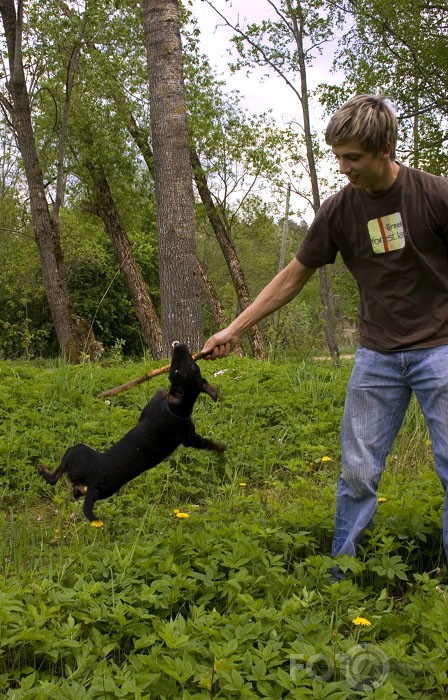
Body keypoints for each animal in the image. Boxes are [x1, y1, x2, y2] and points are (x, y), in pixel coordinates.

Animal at [37, 344, 226, 524]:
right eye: (193, 366)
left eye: (181, 368)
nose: (179, 346)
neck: (176, 408)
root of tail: (93, 485)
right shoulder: (188, 436)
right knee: (69, 488)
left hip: (76, 451)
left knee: (55, 478)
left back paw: (42, 468)